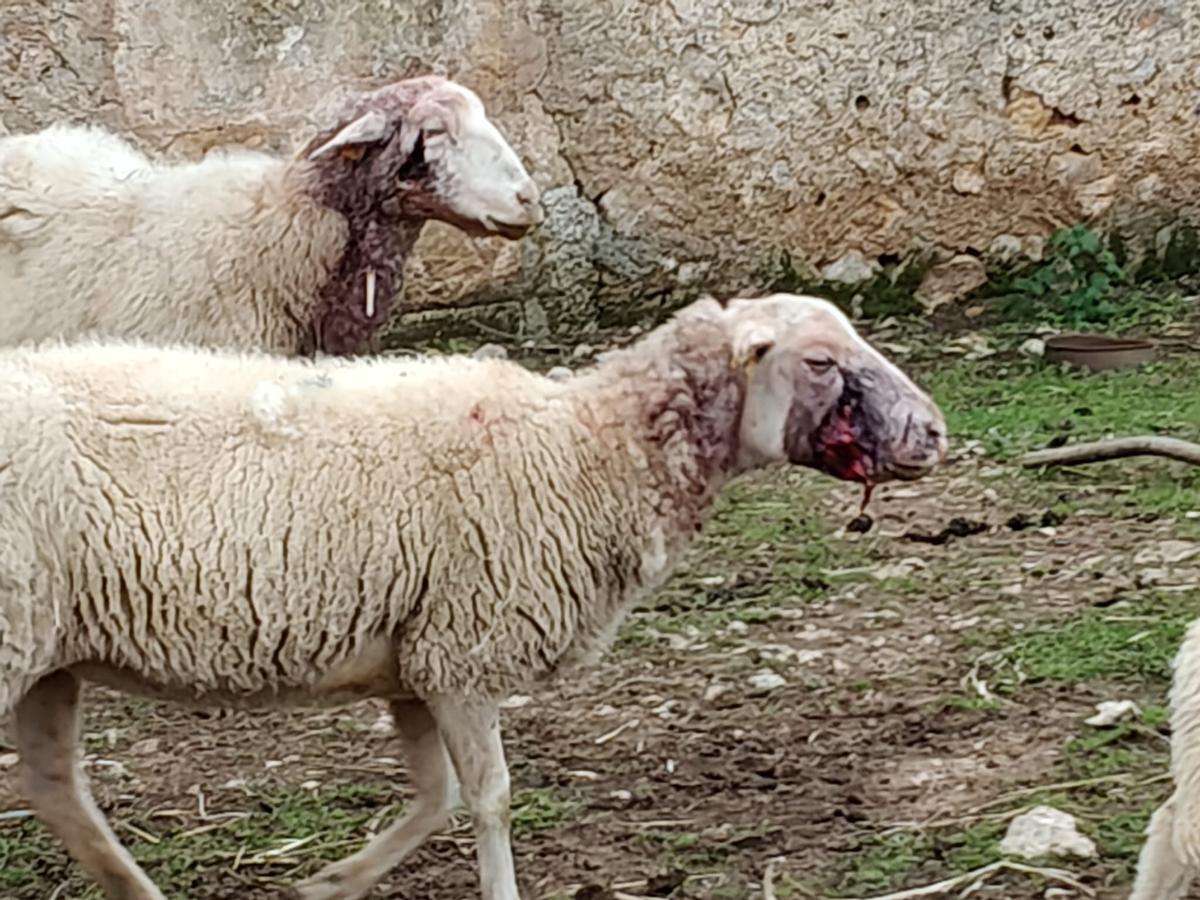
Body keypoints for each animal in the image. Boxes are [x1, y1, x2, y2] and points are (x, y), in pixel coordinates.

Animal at [0, 292, 947, 900]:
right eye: (819, 361)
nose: (933, 433)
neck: (587, 449)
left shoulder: (417, 661)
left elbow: (438, 797)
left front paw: (329, 882)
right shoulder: (466, 652)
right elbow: (489, 798)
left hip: (49, 652)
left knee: (56, 789)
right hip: (15, 630)